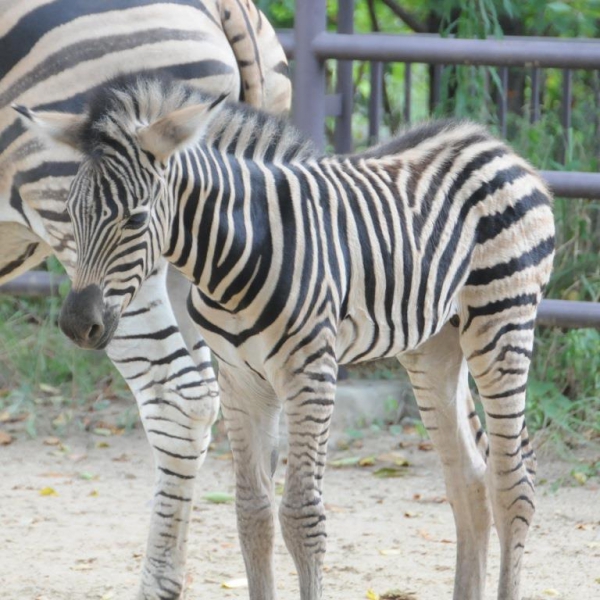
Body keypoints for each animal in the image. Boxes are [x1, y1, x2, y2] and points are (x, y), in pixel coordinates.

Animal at [16, 76, 556, 600]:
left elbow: (301, 516)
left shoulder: (310, 372)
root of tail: (493, 145)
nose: (77, 323)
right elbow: (251, 514)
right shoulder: (239, 379)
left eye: (136, 218)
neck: (237, 249)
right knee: (468, 479)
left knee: (513, 483)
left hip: (501, 322)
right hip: (433, 347)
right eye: (70, 212)